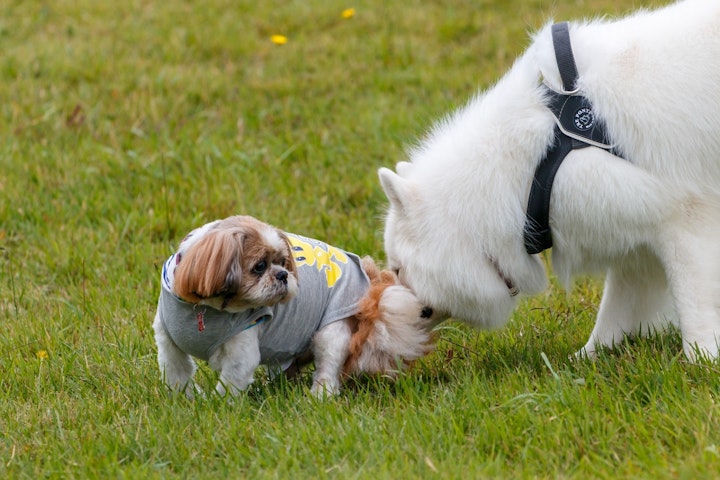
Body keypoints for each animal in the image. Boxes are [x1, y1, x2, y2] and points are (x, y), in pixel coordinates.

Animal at [150, 215, 438, 398]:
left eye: (283, 263)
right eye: (259, 266)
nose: (283, 275)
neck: (206, 309)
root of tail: (367, 279)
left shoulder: (242, 351)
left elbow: (230, 382)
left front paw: (219, 404)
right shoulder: (168, 340)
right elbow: (176, 371)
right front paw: (184, 398)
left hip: (330, 331)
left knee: (328, 365)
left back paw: (319, 395)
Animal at [376, 0, 720, 360]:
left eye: (397, 269)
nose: (378, 313)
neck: (534, 166)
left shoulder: (687, 221)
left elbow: (694, 304)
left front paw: (701, 360)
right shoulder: (638, 238)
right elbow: (615, 312)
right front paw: (588, 358)